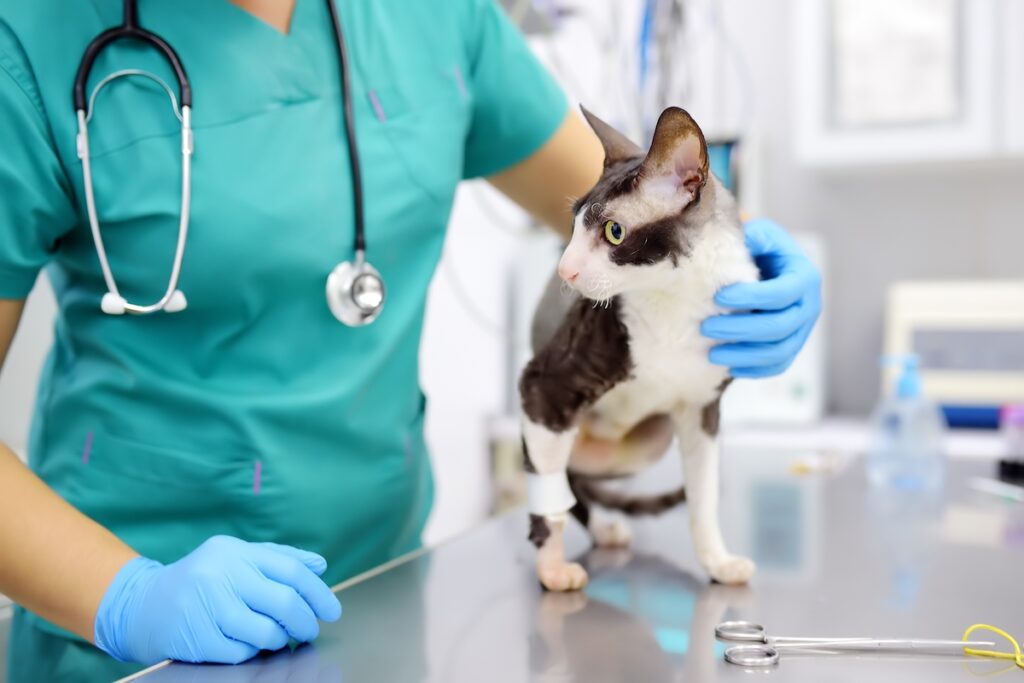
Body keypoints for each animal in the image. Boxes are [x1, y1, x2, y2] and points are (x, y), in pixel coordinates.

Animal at [520, 104, 761, 589]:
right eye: (573, 224)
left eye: (614, 231)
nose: (565, 270)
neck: (676, 301)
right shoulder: (542, 386)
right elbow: (548, 496)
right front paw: (552, 569)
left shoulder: (703, 411)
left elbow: (703, 496)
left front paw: (717, 561)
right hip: (555, 424)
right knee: (559, 475)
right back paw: (597, 529)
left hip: (650, 442)